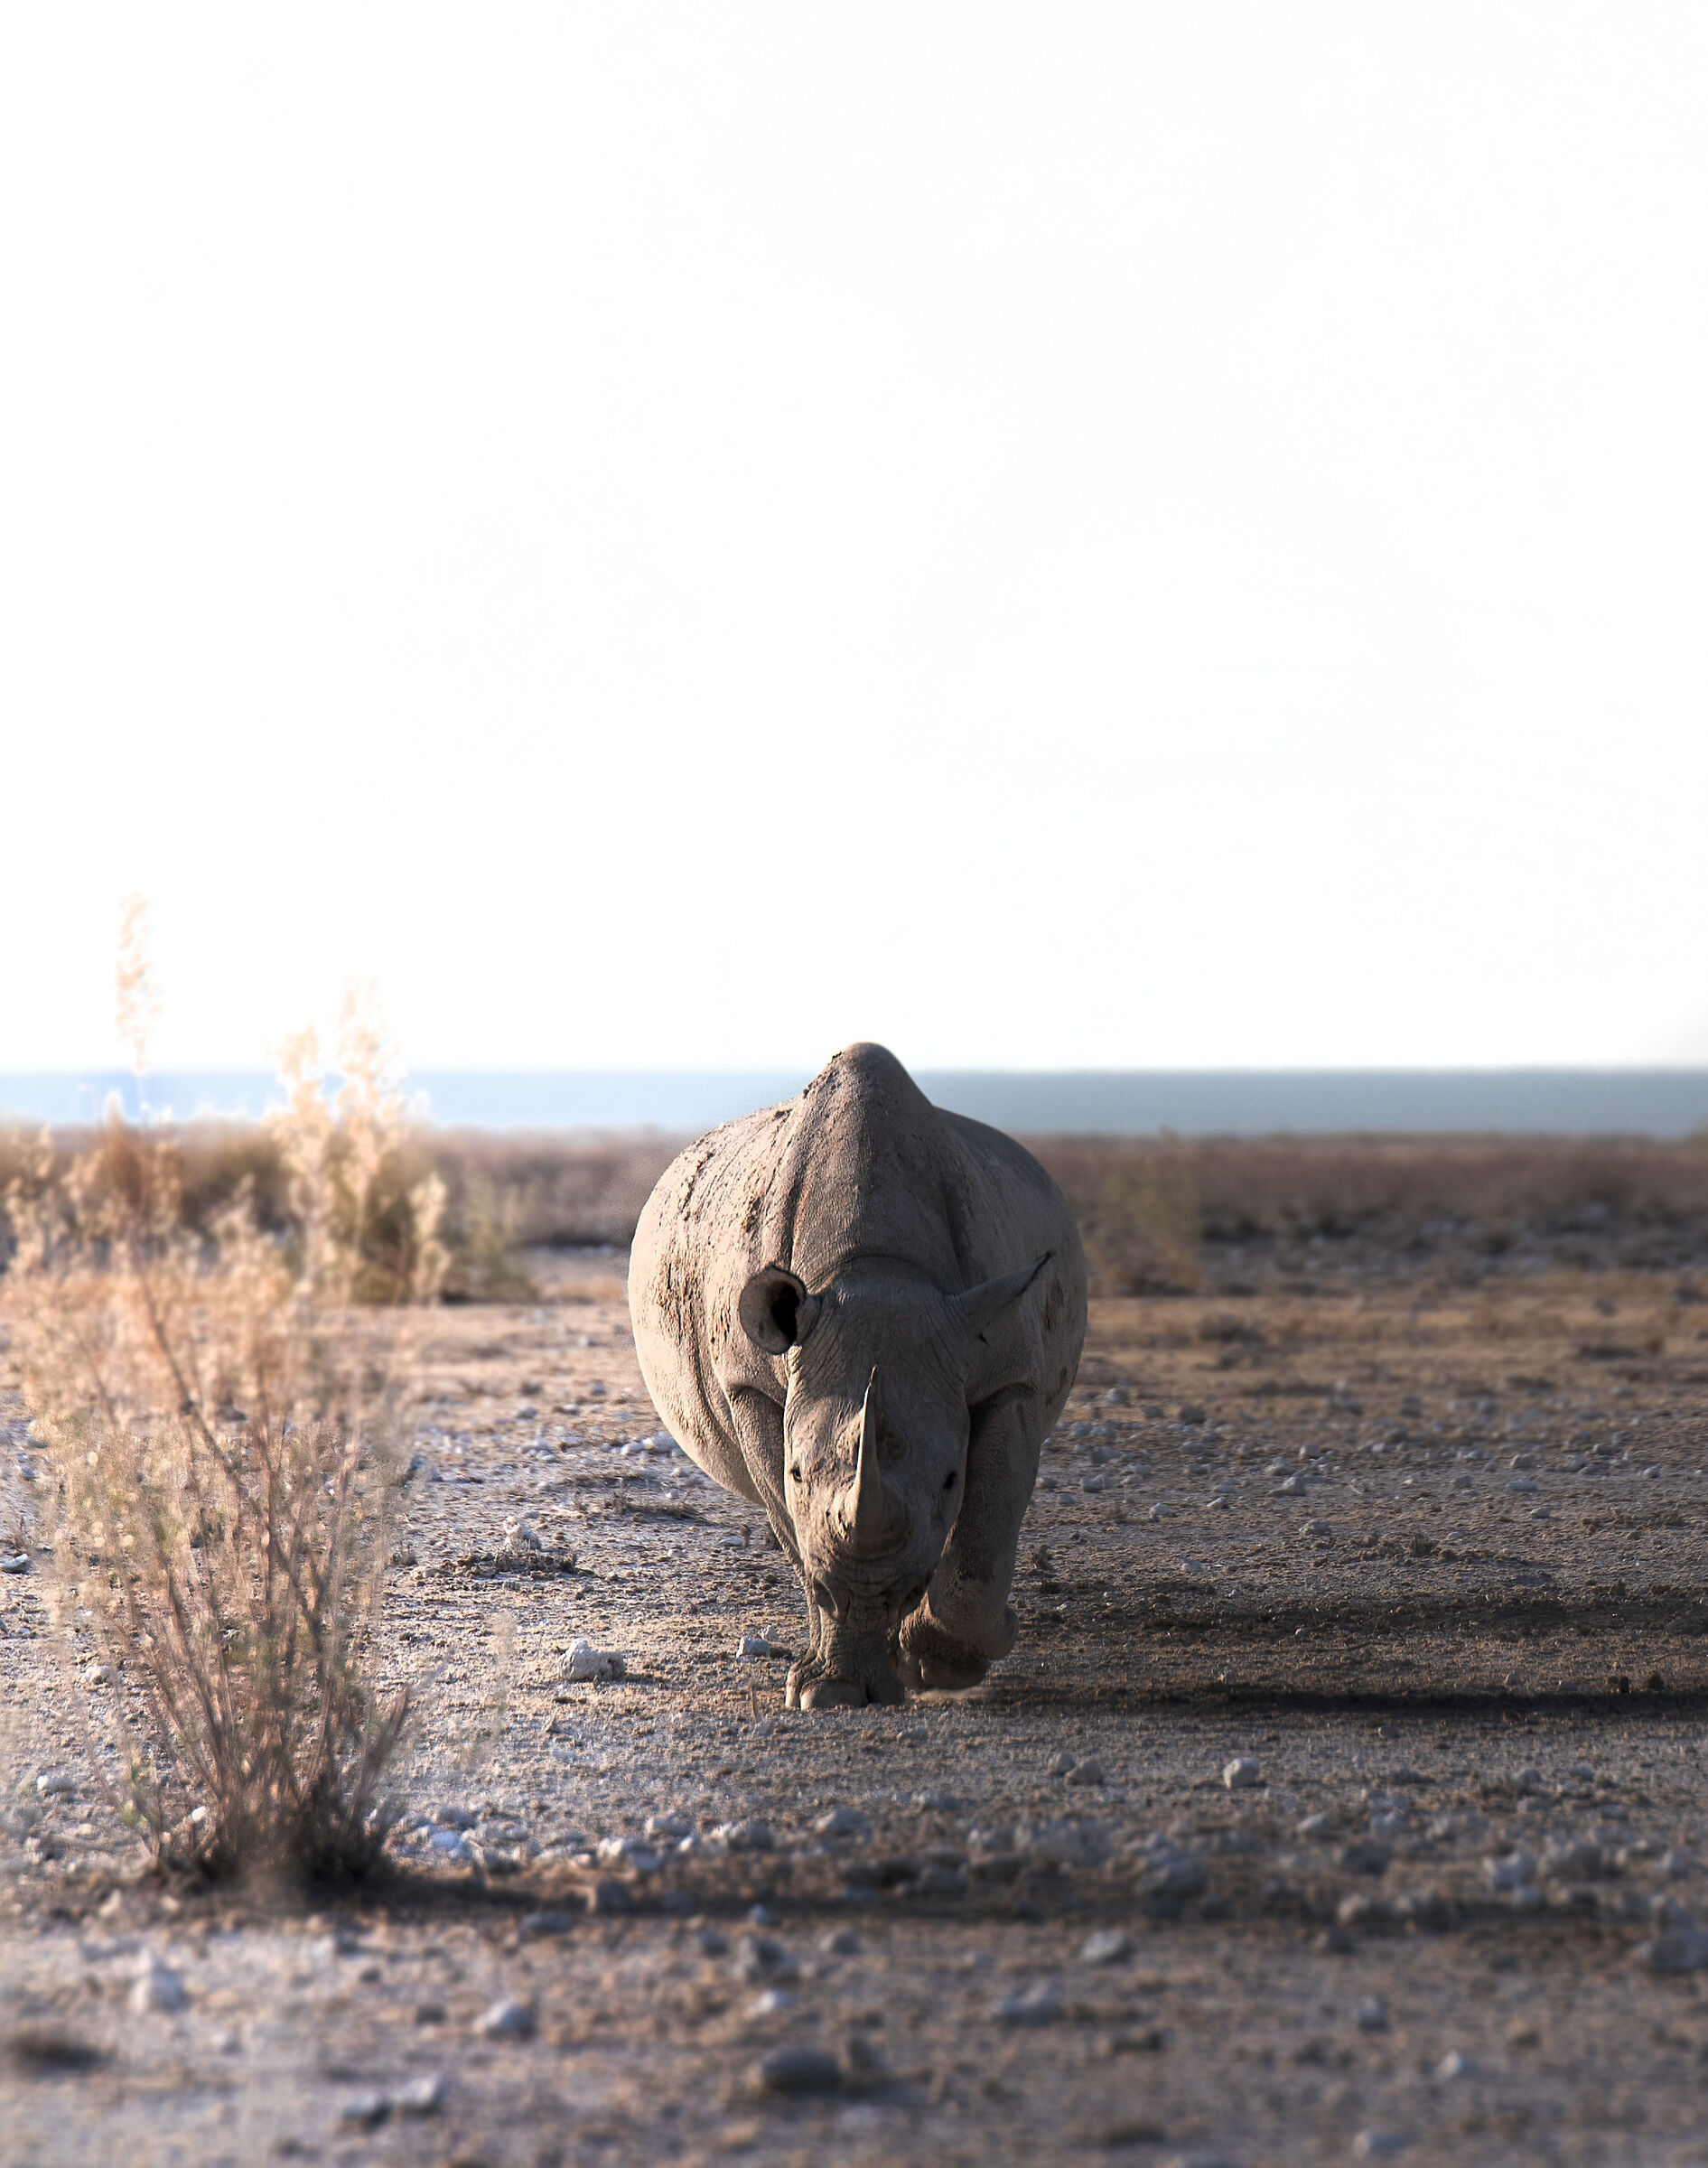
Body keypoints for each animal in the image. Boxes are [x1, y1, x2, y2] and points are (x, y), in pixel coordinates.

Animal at [629, 1043, 1087, 1707]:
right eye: (796, 1472)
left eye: (950, 1479)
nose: (873, 1593)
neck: (876, 1271)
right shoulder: (752, 1385)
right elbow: (802, 1541)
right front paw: (833, 1693)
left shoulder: (1009, 1374)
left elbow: (985, 1528)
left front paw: (945, 1662)